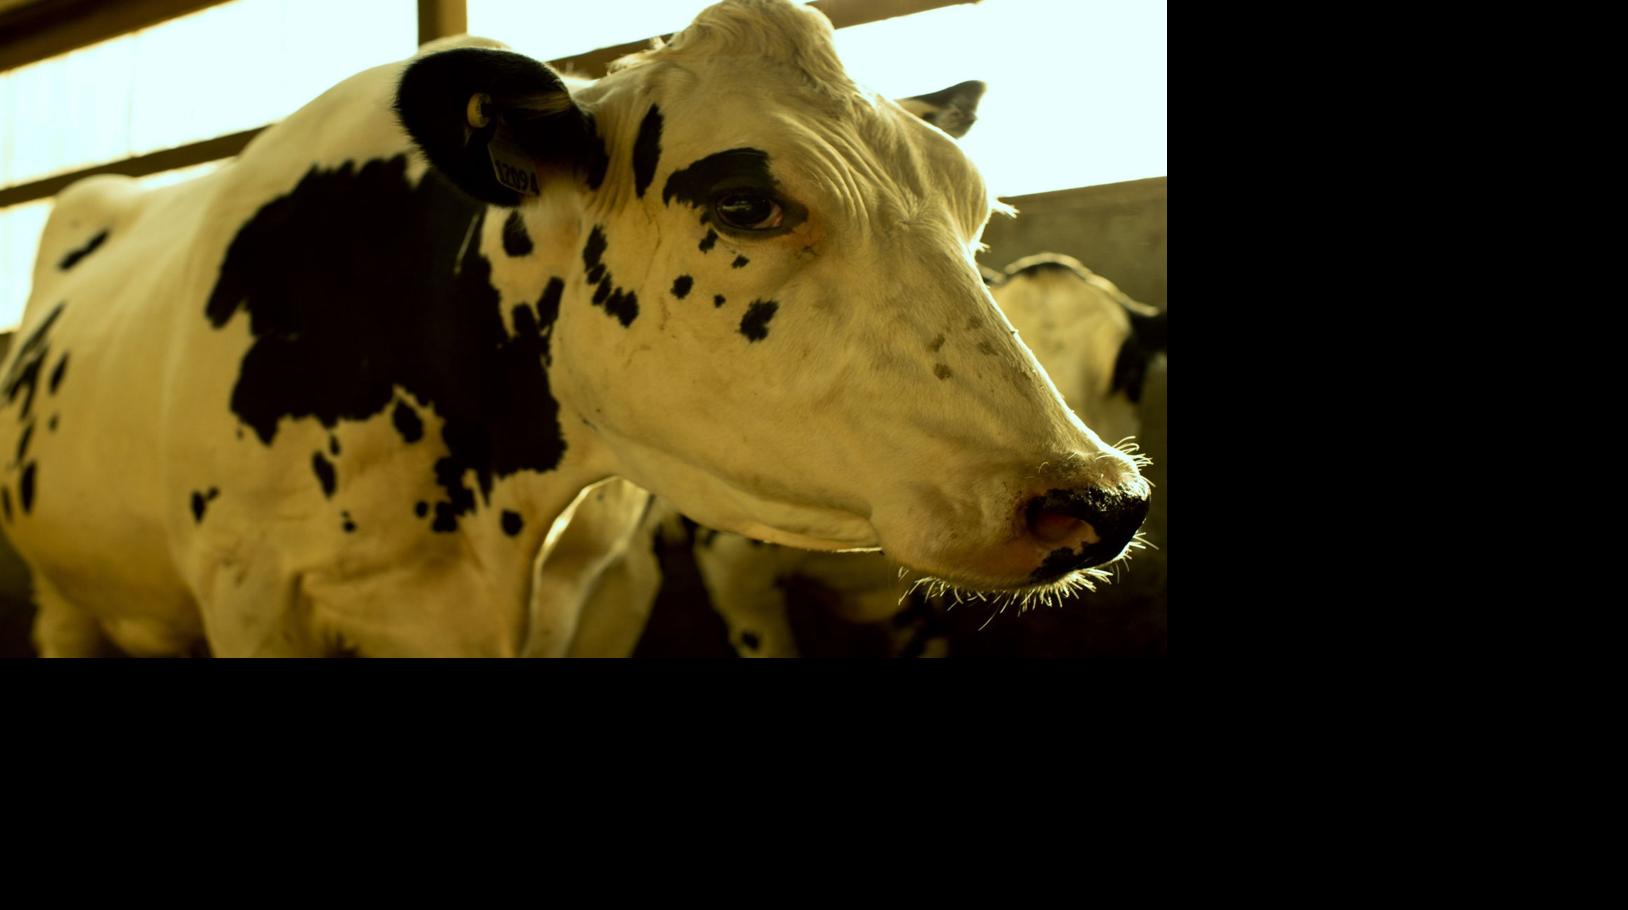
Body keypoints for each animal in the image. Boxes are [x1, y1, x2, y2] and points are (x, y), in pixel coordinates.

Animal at [0, 0, 1149, 657]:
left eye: (976, 211)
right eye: (743, 203)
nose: (1095, 496)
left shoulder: (604, 595)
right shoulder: (257, 598)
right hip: (62, 595)